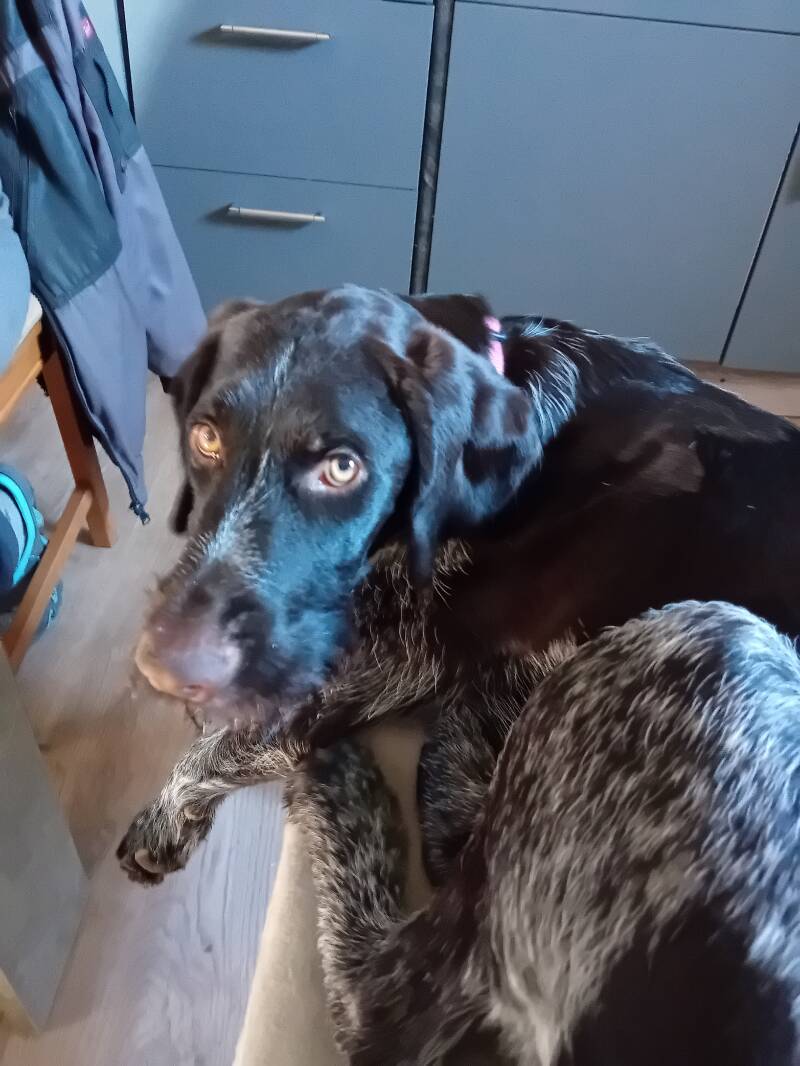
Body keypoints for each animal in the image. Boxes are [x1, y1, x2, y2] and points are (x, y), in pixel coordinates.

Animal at [118, 285, 800, 1061]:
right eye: (205, 439)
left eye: (343, 469)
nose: (164, 666)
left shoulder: (402, 649)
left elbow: (245, 733)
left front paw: (171, 806)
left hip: (709, 640)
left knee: (388, 1005)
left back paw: (347, 783)